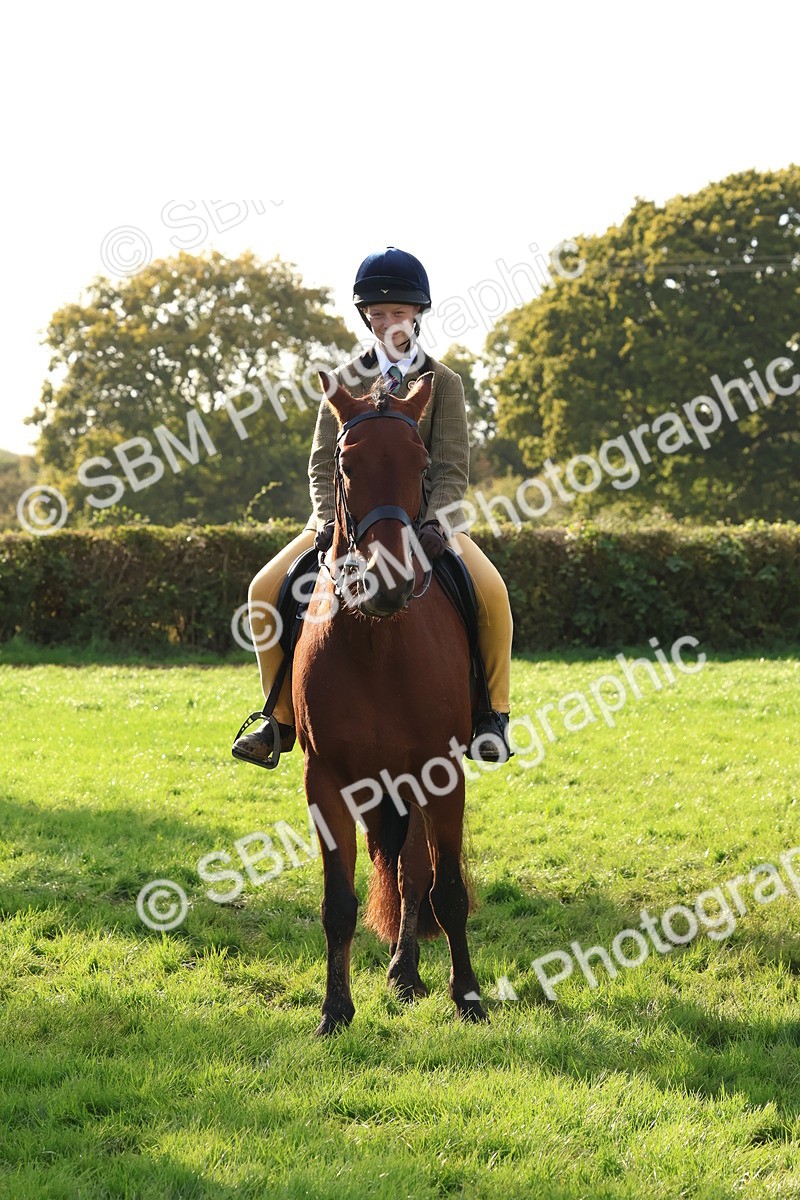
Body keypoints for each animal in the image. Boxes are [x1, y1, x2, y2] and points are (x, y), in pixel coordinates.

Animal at [291, 369, 487, 1036]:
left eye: (420, 462)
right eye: (346, 465)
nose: (389, 580)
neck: (378, 641)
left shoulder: (440, 770)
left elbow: (446, 888)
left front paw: (468, 996)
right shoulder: (326, 780)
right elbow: (338, 903)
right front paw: (334, 1010)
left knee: (415, 872)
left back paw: (408, 971)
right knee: (402, 870)